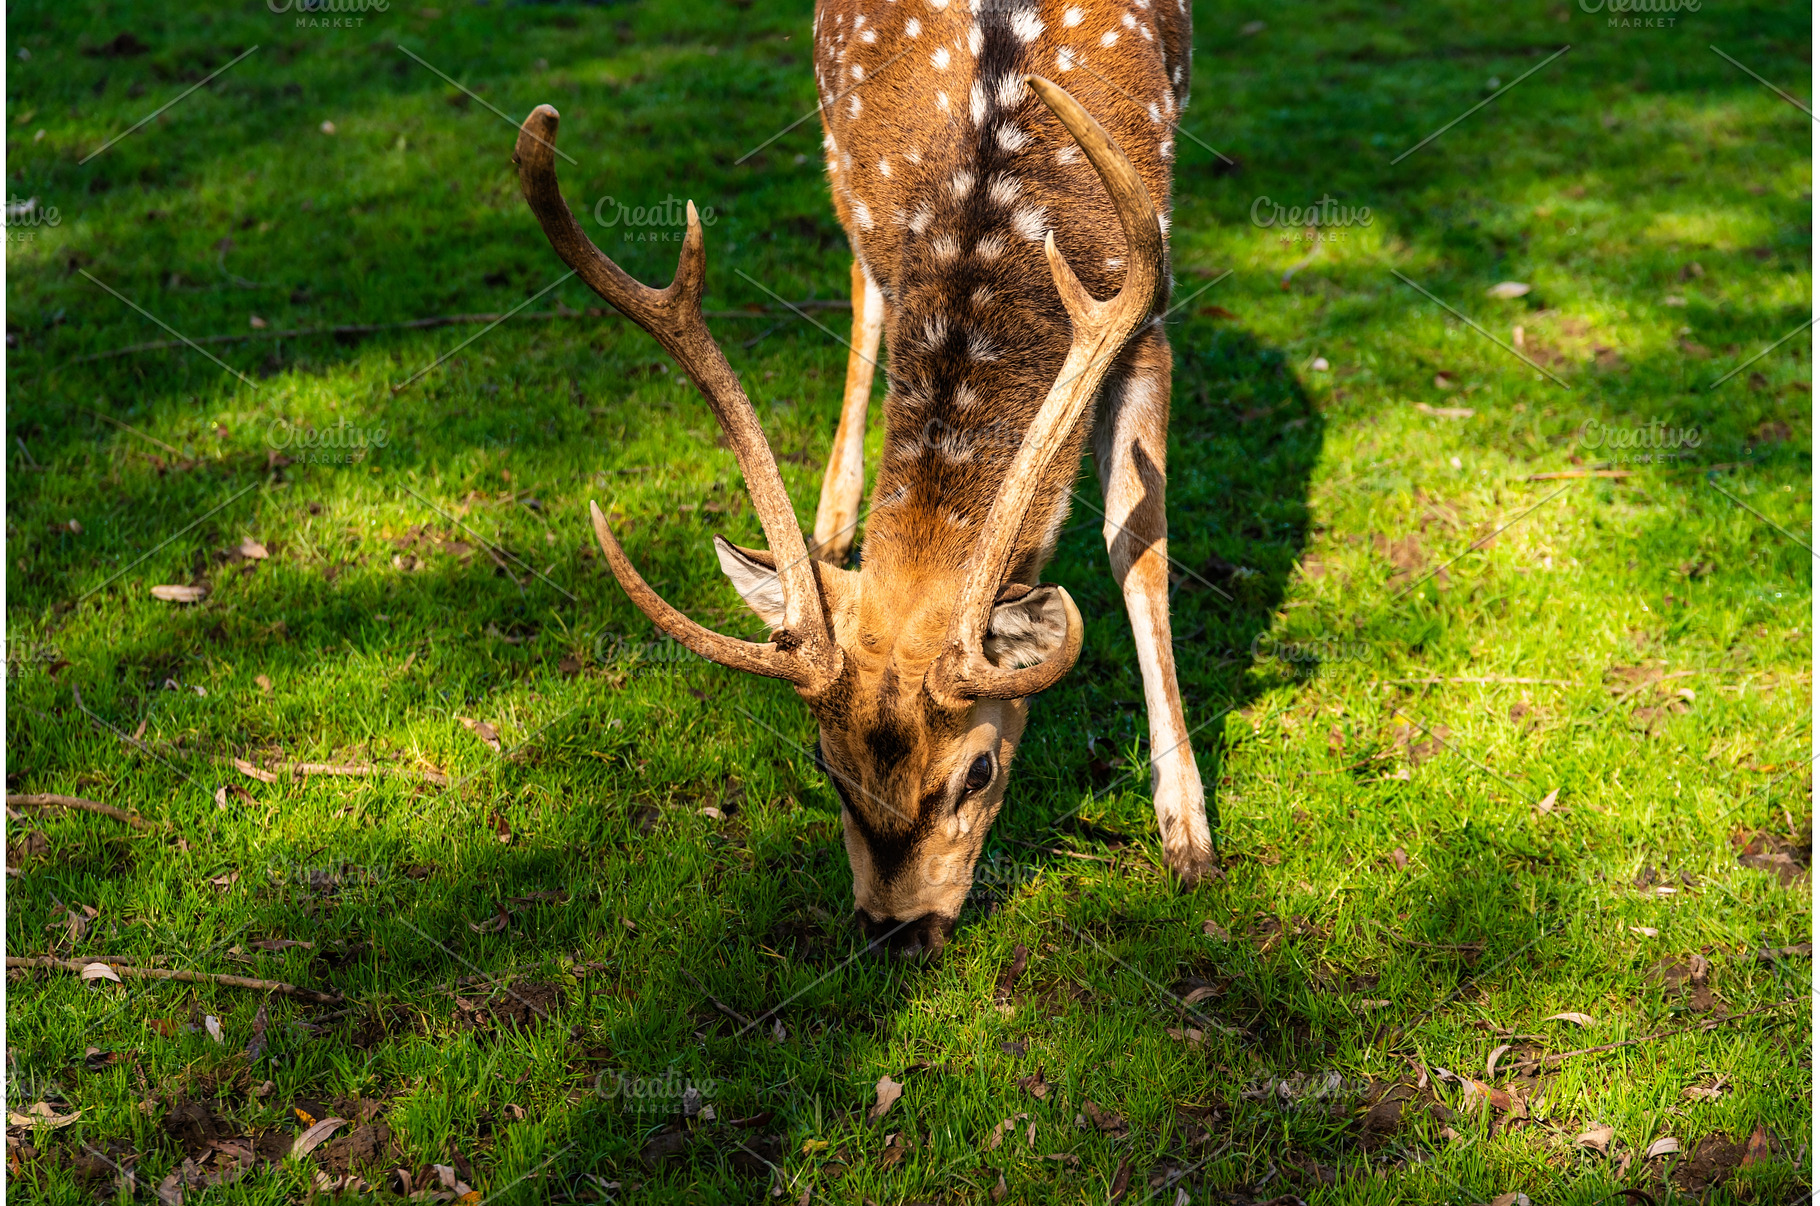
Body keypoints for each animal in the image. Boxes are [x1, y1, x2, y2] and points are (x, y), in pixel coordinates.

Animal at [511, 0, 1207, 956]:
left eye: (979, 771)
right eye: (823, 764)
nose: (894, 930)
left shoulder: (1145, 317)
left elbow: (1138, 555)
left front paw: (1190, 838)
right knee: (862, 294)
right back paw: (833, 519)